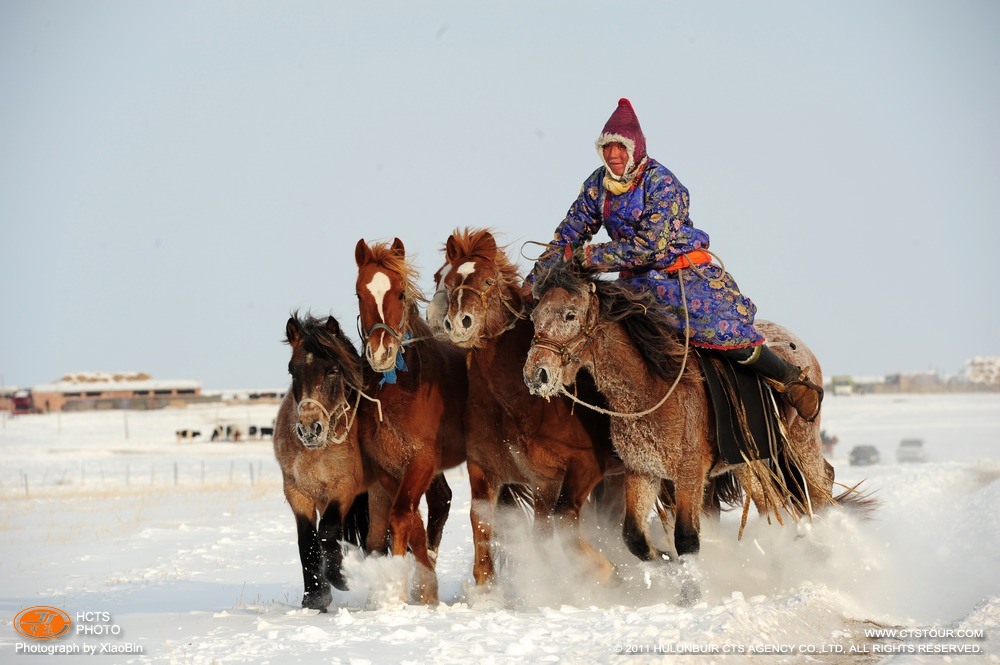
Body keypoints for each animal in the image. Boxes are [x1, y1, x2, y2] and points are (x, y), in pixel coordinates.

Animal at [354, 237, 466, 600]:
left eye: (401, 293)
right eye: (359, 294)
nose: (381, 353)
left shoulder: (421, 460)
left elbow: (402, 516)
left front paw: (397, 593)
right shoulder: (388, 467)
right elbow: (412, 522)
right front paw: (423, 590)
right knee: (440, 500)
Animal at [436, 228, 620, 588]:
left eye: (488, 280)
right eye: (447, 282)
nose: (459, 323)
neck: (518, 404)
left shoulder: (571, 472)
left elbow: (557, 529)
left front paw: (600, 572)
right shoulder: (491, 472)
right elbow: (483, 524)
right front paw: (487, 591)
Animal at [520, 260, 864, 580]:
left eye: (569, 315)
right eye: (535, 317)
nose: (537, 375)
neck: (652, 387)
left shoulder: (689, 473)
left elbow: (686, 540)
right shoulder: (642, 471)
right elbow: (634, 538)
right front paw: (664, 563)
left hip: (801, 442)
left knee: (821, 484)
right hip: (749, 461)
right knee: (772, 504)